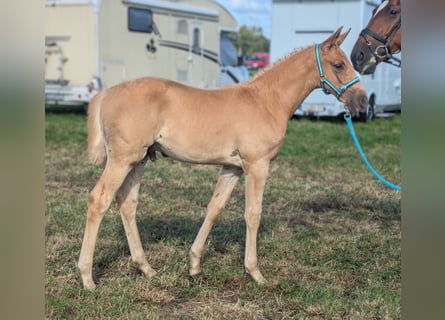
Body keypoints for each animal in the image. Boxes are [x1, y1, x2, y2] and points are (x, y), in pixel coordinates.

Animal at [78, 26, 366, 288]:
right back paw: (87, 277)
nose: (362, 102)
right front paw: (255, 272)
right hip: (123, 159)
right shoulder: (257, 165)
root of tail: (106, 93)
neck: (266, 101)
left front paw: (194, 265)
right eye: (339, 64)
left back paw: (145, 267)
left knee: (127, 203)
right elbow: (253, 214)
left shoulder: (232, 168)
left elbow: (215, 208)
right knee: (99, 199)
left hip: (139, 160)